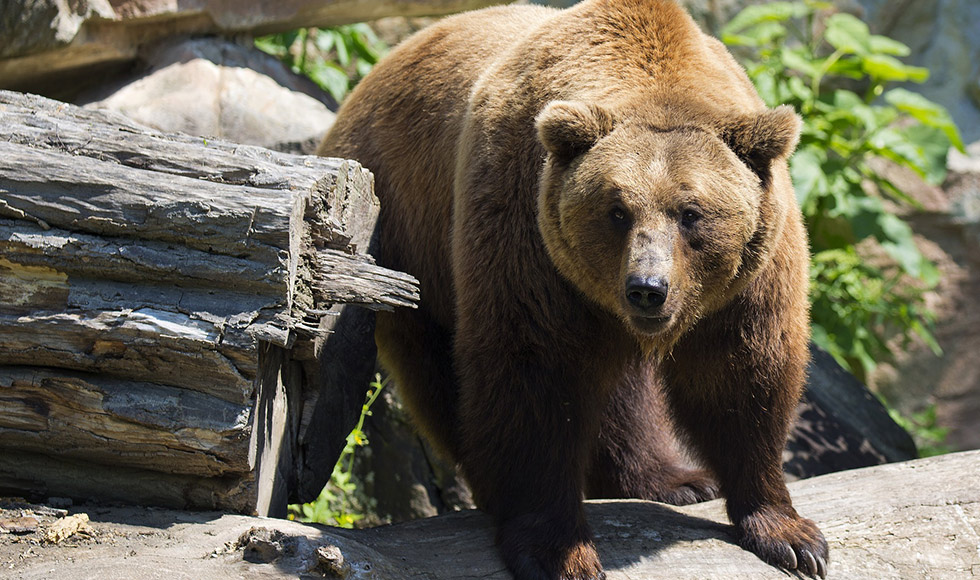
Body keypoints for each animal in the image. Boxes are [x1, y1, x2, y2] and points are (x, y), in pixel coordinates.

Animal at [317, 1, 828, 579]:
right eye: (617, 210)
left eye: (691, 212)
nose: (647, 289)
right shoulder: (527, 231)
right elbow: (535, 374)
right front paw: (558, 549)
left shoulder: (750, 277)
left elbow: (743, 375)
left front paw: (791, 535)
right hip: (407, 238)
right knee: (440, 374)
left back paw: (674, 479)